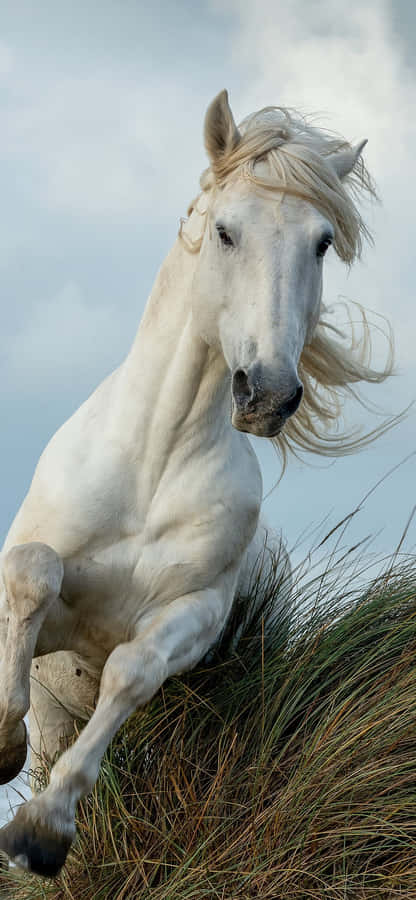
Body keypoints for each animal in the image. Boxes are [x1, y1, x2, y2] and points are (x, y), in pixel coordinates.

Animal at [0, 90, 392, 878]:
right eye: (225, 231)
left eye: (321, 242)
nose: (267, 393)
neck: (152, 465)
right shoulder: (50, 611)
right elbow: (32, 573)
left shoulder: (192, 615)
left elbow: (131, 668)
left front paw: (43, 831)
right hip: (59, 705)